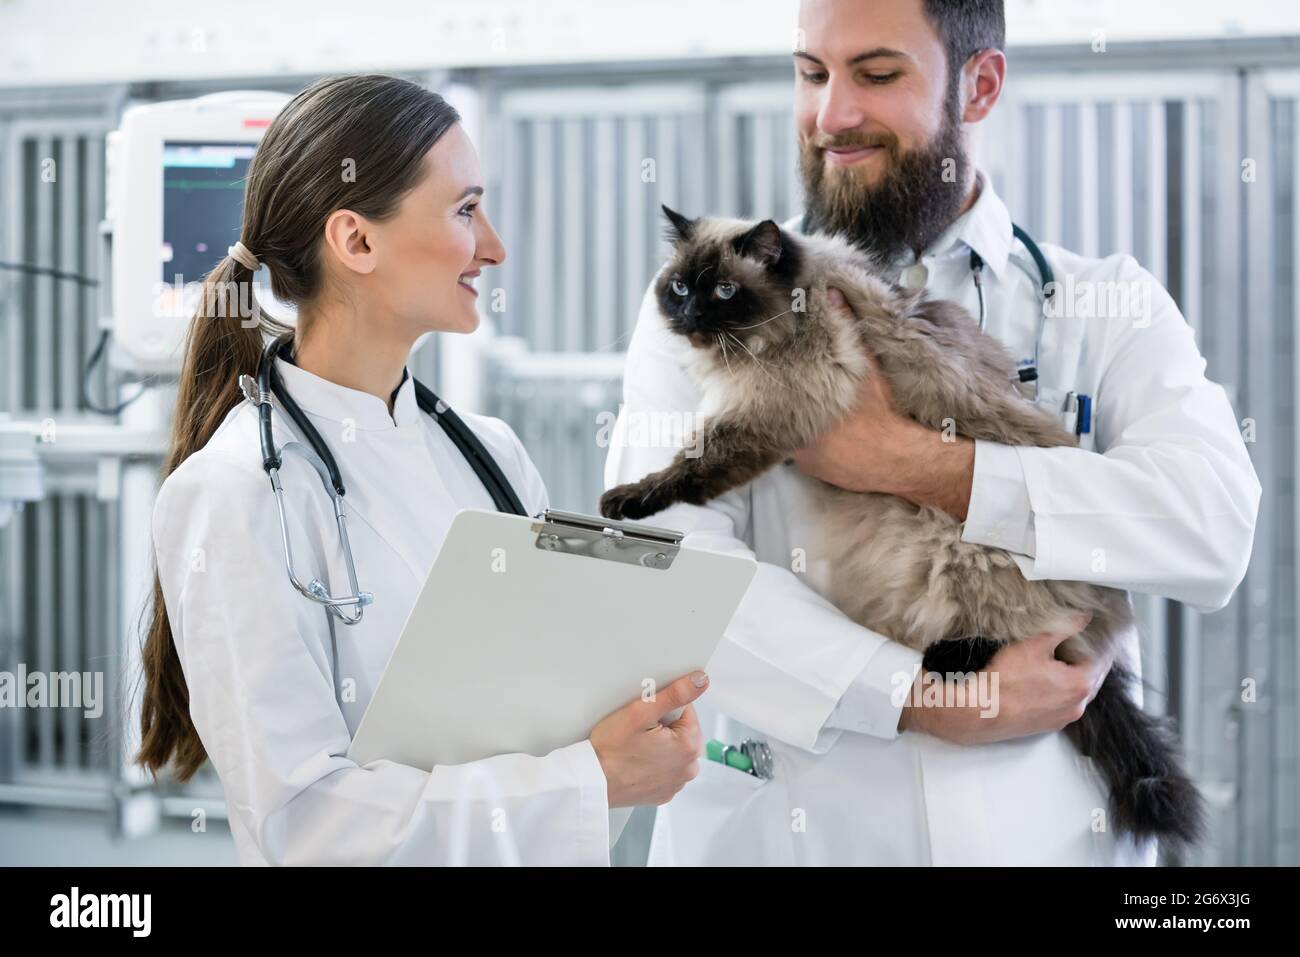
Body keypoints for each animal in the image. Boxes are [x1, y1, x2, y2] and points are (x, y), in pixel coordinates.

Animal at [603, 205, 1201, 847]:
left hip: (955, 548)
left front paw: (626, 500)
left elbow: (692, 466)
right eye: (680, 288)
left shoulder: (772, 411)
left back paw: (950, 658)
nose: (688, 316)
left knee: (1009, 628)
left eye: (723, 291)